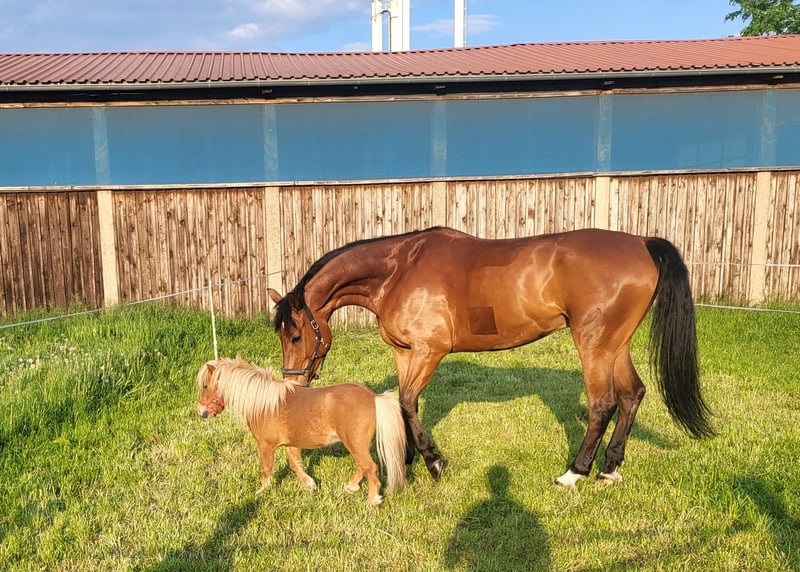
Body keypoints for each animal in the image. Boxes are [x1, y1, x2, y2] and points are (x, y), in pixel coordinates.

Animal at [196, 356, 406, 505]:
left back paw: (372, 500)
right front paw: (310, 485)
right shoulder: (290, 444)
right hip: (357, 445)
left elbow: (266, 469)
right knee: (362, 466)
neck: (264, 403)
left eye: (206, 386)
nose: (202, 413)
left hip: (355, 443)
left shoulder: (266, 445)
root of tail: (374, 397)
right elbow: (295, 465)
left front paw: (262, 492)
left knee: (369, 467)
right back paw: (351, 487)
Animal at [267, 226, 714, 488]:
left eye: (295, 334)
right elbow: (405, 405)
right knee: (631, 395)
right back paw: (610, 468)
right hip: (616, 345)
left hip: (594, 344)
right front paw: (409, 460)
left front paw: (434, 462)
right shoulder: (404, 353)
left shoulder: (429, 352)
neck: (398, 269)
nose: (293, 383)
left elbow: (408, 402)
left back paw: (575, 472)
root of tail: (641, 243)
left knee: (602, 404)